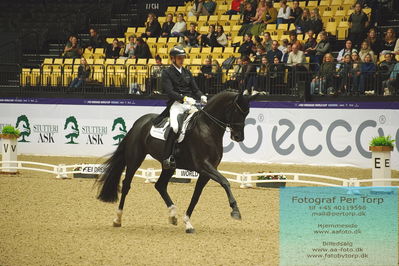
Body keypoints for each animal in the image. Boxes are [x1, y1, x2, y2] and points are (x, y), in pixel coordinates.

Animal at [95, 91, 255, 233]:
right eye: (238, 111)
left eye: (247, 113)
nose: (239, 137)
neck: (208, 128)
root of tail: (138, 123)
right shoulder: (204, 166)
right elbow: (225, 182)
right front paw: (235, 210)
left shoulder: (206, 172)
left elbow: (196, 196)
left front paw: (188, 223)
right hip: (135, 159)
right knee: (127, 185)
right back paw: (117, 219)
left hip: (168, 166)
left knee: (160, 185)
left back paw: (173, 215)